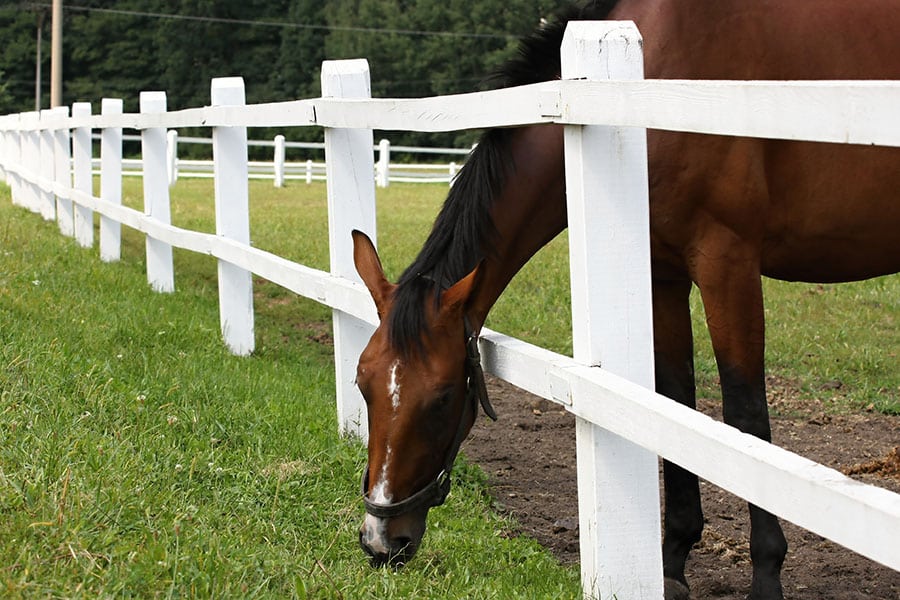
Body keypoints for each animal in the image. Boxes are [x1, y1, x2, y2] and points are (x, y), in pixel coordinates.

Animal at [348, 1, 900, 596]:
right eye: (363, 385)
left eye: (443, 397)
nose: (381, 540)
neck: (660, 74)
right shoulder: (663, 276)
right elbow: (673, 402)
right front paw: (672, 562)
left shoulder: (727, 262)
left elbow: (746, 417)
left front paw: (766, 575)